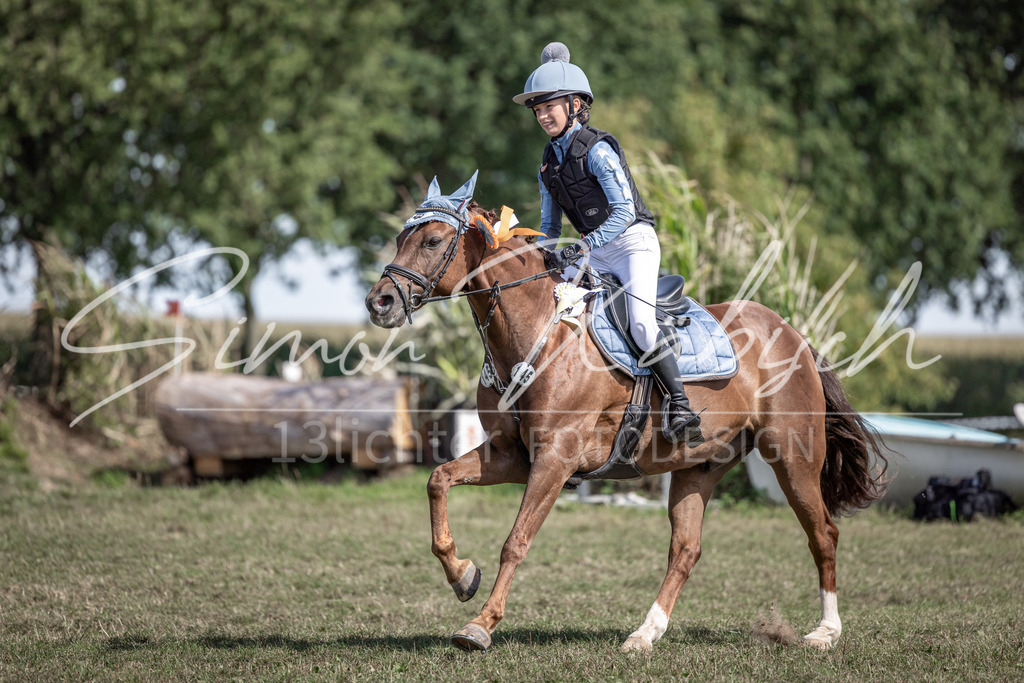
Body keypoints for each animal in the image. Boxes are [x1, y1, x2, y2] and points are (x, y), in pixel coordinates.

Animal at [364, 174, 888, 653]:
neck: (538, 333)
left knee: (823, 533)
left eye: (433, 241)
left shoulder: (556, 459)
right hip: (700, 465)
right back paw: (644, 634)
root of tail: (792, 333)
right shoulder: (514, 453)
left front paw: (480, 625)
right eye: (401, 239)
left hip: (793, 458)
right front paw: (462, 576)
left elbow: (516, 541)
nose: (379, 302)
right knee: (685, 550)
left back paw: (825, 632)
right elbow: (439, 480)